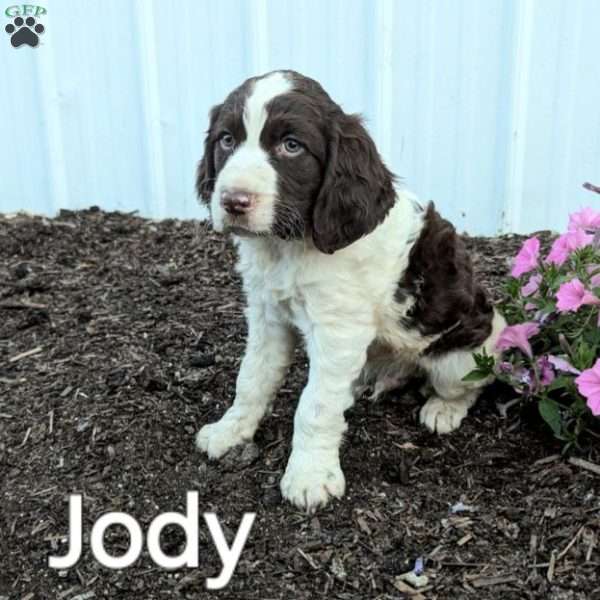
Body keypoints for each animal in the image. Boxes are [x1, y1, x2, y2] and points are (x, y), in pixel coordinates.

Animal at [195, 70, 504, 510]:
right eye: (226, 140)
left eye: (292, 146)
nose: (233, 201)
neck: (288, 247)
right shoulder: (267, 313)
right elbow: (252, 376)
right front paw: (231, 430)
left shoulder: (338, 327)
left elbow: (315, 405)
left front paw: (309, 475)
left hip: (462, 356)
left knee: (469, 384)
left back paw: (443, 409)